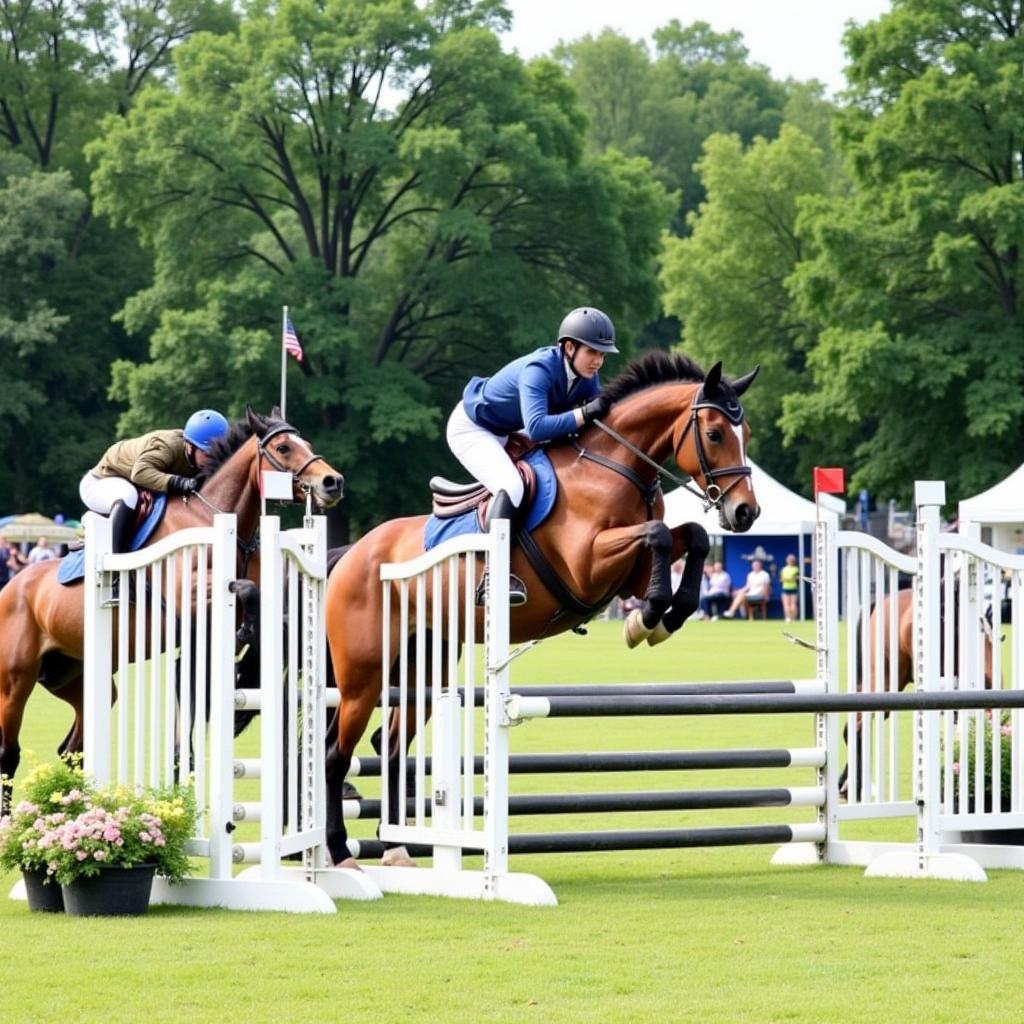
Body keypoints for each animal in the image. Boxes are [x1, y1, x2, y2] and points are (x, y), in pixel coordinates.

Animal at [0, 403, 344, 802]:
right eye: (284, 448)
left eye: (308, 444)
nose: (333, 482)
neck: (217, 519)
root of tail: (11, 588)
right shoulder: (192, 594)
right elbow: (246, 592)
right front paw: (246, 637)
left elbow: (267, 615)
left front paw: (247, 656)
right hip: (15, 679)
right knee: (9, 753)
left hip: (77, 677)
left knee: (72, 749)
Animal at [321, 350, 761, 864]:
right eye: (714, 434)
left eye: (746, 434)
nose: (745, 513)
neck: (613, 466)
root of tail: (351, 554)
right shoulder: (588, 564)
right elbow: (654, 535)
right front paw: (648, 616)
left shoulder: (626, 572)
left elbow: (690, 537)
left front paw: (659, 619)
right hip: (362, 674)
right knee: (336, 754)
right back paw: (340, 851)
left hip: (425, 665)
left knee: (389, 745)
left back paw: (395, 850)